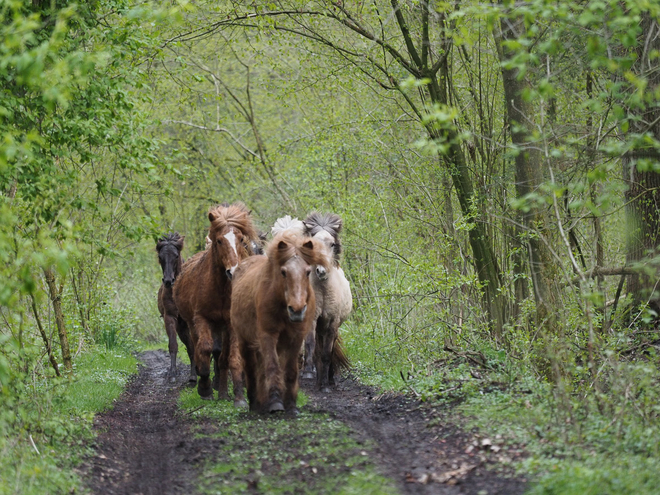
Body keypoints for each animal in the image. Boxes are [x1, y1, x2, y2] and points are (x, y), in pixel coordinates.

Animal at [156, 232, 195, 384]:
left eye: (176, 255)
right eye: (160, 257)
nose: (168, 281)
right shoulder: (170, 317)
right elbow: (173, 345)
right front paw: (172, 373)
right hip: (181, 328)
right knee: (189, 345)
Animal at [174, 203, 256, 404]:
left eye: (241, 239)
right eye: (219, 241)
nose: (233, 271)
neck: (221, 290)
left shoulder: (231, 324)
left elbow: (232, 358)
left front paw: (239, 397)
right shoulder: (201, 319)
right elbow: (204, 350)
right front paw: (205, 388)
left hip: (222, 327)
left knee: (222, 357)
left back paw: (224, 391)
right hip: (194, 325)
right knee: (199, 349)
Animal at [231, 232, 328, 414]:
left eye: (307, 272)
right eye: (283, 272)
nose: (297, 310)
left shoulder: (295, 338)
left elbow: (290, 370)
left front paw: (290, 404)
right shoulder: (267, 335)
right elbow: (272, 366)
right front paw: (276, 401)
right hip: (244, 341)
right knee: (250, 368)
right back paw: (254, 402)